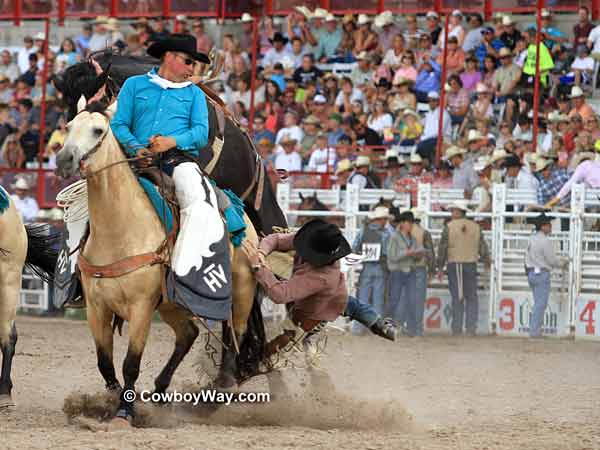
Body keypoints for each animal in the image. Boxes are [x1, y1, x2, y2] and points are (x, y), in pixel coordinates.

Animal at [54, 101, 264, 426]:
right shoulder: (97, 307)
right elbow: (105, 362)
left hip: (241, 289)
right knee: (189, 334)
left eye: (98, 130)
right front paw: (110, 401)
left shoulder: (141, 307)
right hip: (171, 304)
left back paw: (221, 388)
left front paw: (125, 411)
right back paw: (161, 391)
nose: (65, 159)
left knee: (234, 332)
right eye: (69, 126)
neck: (120, 230)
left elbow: (130, 363)